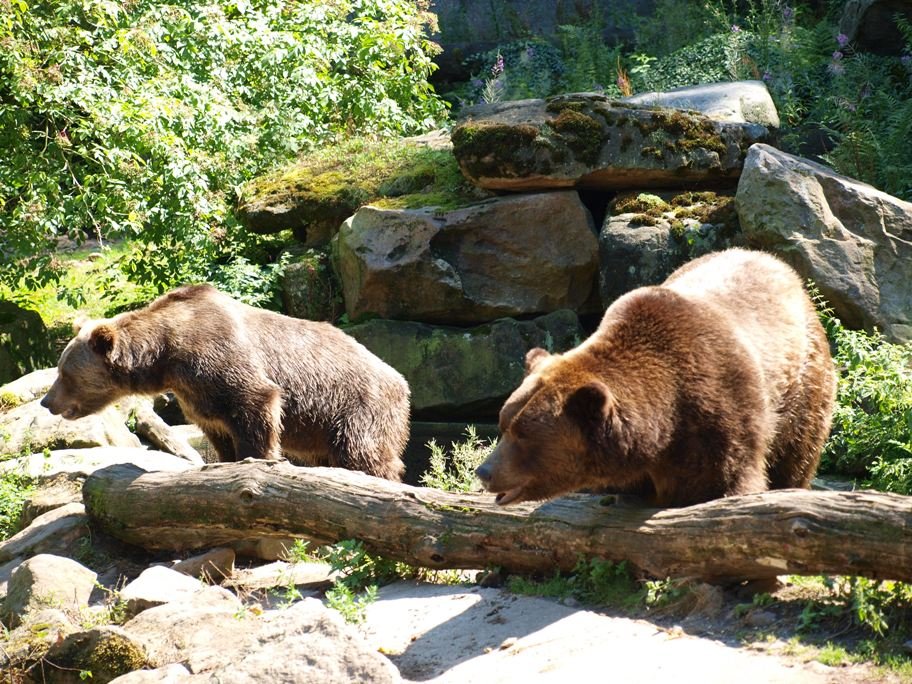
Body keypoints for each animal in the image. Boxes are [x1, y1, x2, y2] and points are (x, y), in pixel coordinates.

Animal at [42, 284, 410, 480]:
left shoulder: (221, 358)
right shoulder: (197, 393)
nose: (47, 402)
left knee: (364, 452)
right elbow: (218, 430)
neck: (166, 355)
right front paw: (226, 462)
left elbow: (256, 406)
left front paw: (257, 460)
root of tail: (400, 380)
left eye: (64, 373)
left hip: (356, 406)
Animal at [478, 250, 840, 508]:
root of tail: (779, 264)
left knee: (794, 456)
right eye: (503, 423)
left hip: (803, 386)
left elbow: (726, 483)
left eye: (524, 434)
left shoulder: (722, 414)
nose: (485, 471)